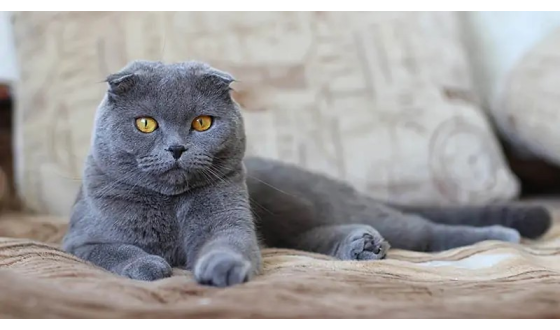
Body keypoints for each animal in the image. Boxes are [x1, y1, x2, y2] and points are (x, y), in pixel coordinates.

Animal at [61, 60, 552, 288]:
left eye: (202, 122)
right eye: (146, 124)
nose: (178, 148)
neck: (171, 207)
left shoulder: (229, 220)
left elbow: (229, 242)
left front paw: (222, 269)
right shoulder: (81, 240)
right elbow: (114, 250)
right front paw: (149, 265)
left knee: (423, 231)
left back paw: (501, 235)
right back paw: (360, 245)